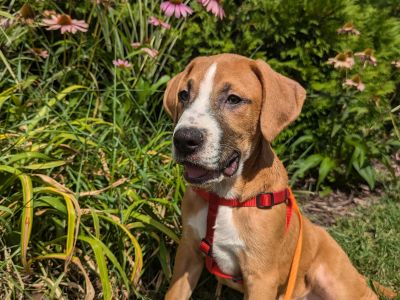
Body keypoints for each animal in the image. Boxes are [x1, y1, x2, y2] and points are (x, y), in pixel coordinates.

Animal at [162, 54, 388, 300]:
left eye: (233, 99)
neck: (223, 197)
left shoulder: (262, 278)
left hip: (333, 280)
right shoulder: (188, 253)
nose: (184, 140)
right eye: (183, 95)